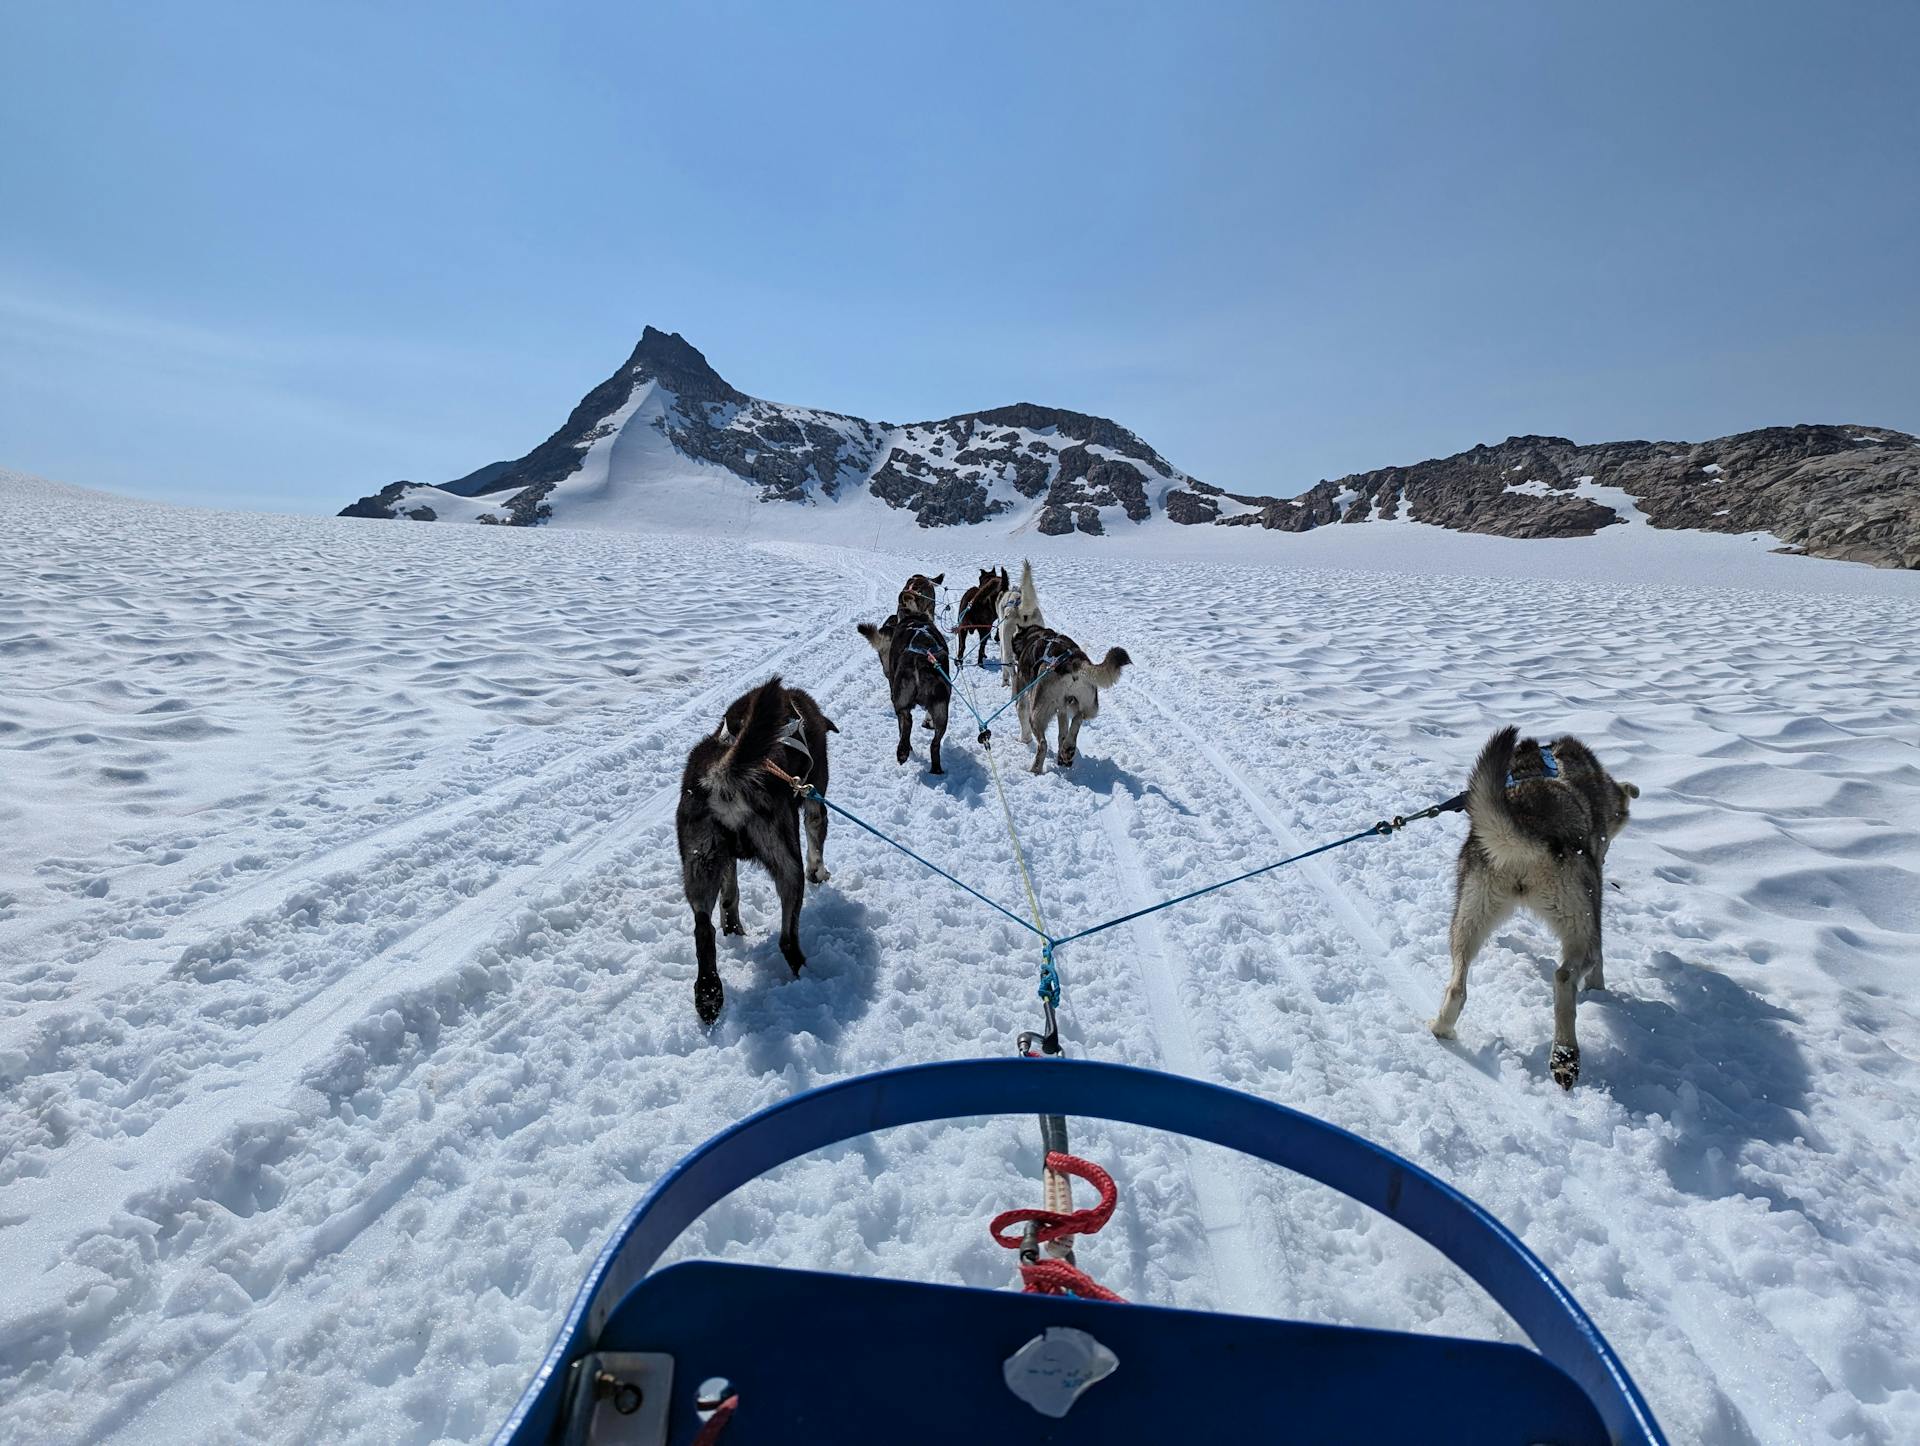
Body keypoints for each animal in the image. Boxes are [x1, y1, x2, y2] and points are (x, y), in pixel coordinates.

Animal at [675, 675, 833, 1029]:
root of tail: (723, 779)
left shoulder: (725, 862)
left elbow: (730, 895)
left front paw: (732, 926)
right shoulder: (814, 799)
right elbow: (817, 841)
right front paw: (819, 872)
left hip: (701, 862)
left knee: (704, 929)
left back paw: (708, 994)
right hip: (787, 863)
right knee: (787, 938)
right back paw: (810, 973)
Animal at [860, 610, 948, 771]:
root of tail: (920, 661)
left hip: (903, 699)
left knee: (906, 721)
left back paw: (903, 751)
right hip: (942, 710)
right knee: (935, 742)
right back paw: (935, 769)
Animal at [1006, 622, 1121, 779]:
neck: (1034, 634)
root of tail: (1072, 661)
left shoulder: (1023, 693)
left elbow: (1022, 715)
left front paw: (1024, 740)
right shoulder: (1062, 709)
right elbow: (1062, 732)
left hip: (1037, 714)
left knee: (1043, 744)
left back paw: (1035, 769)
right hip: (1087, 706)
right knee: (1077, 719)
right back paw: (1067, 749)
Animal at [1436, 725, 1643, 1090]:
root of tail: (1525, 830)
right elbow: (1600, 963)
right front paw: (1598, 989)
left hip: (1468, 917)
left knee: (1458, 983)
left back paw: (1441, 1027)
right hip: (1581, 926)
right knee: (1563, 978)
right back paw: (1565, 1056)